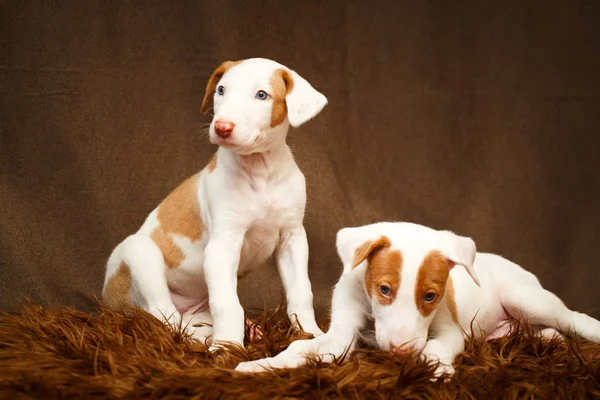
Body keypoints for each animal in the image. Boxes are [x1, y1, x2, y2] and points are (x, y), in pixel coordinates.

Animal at [103, 57, 328, 350]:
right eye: (221, 90)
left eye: (262, 95)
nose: (222, 127)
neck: (260, 170)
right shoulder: (223, 246)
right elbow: (228, 304)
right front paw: (227, 348)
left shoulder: (292, 239)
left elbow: (301, 293)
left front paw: (312, 335)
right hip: (140, 253)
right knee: (163, 315)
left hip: (198, 310)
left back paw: (243, 331)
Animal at [234, 220, 600, 376]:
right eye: (384, 290)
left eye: (430, 296)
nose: (399, 351)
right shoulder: (342, 331)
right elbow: (305, 348)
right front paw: (261, 364)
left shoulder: (451, 330)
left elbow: (435, 346)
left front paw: (437, 368)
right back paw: (549, 338)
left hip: (524, 296)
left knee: (571, 318)